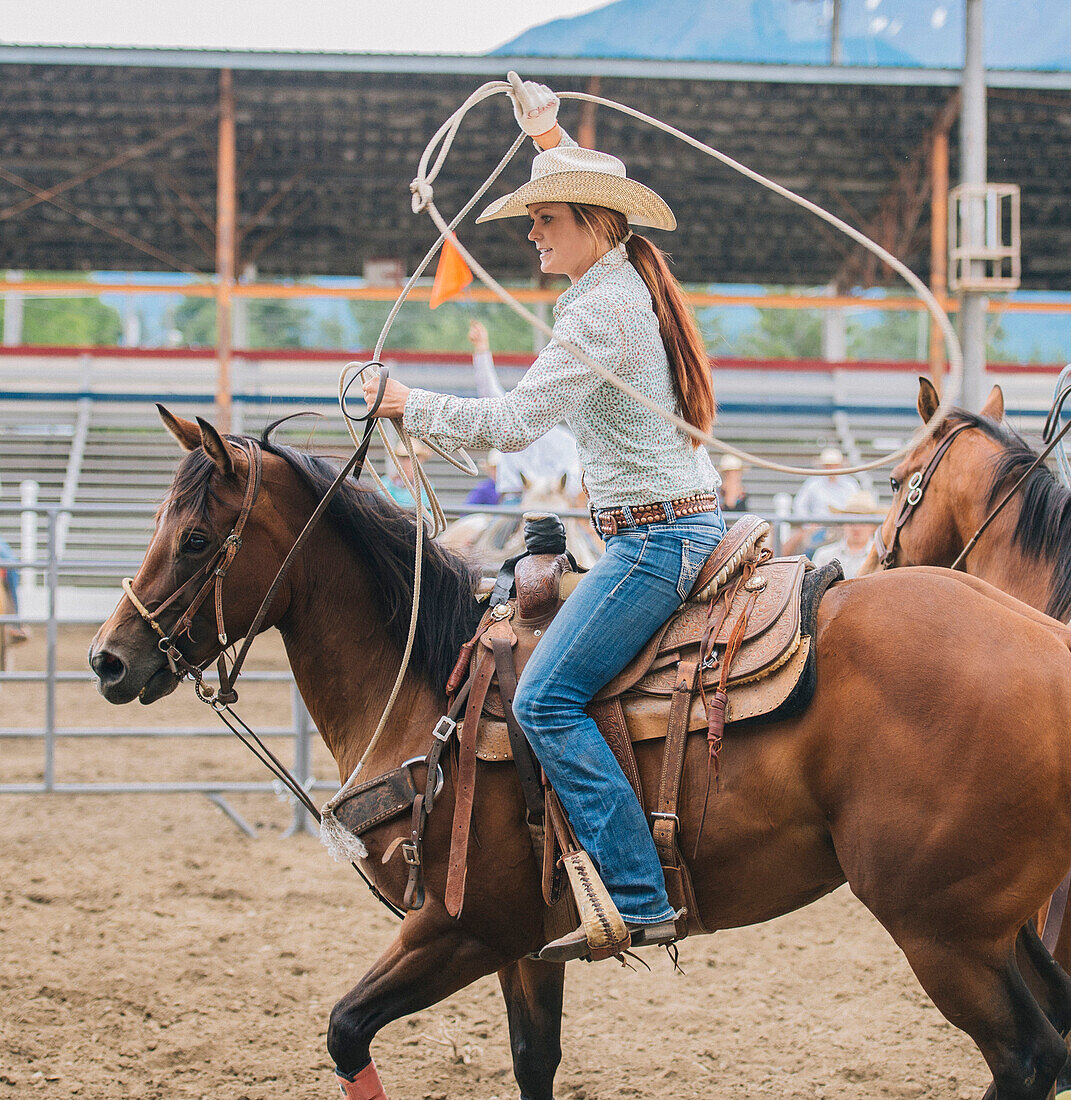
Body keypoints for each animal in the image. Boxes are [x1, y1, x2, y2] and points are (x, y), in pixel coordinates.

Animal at [90, 411, 1071, 1100]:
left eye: (196, 539)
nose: (108, 659)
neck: (430, 691)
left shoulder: (458, 928)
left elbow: (344, 1028)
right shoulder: (526, 944)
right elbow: (533, 1061)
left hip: (939, 927)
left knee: (1026, 1059)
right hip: (991, 920)